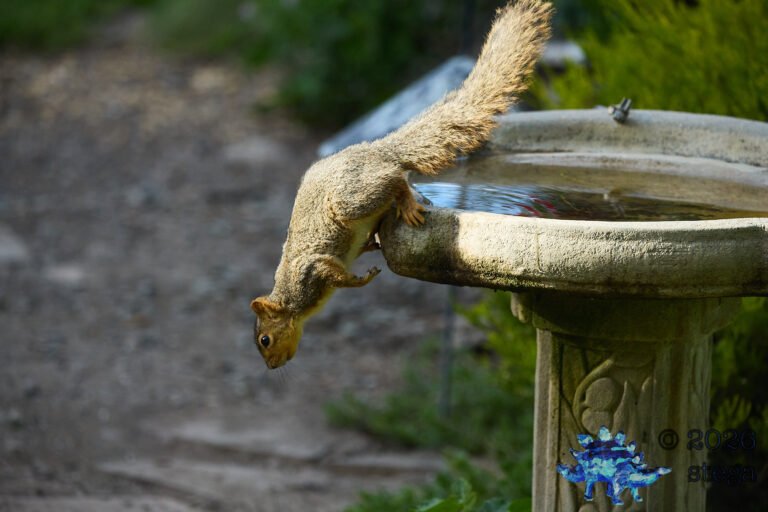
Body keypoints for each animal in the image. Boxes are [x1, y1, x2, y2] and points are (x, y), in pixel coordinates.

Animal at [251, 0, 553, 369]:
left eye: (265, 339)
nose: (272, 366)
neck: (291, 301)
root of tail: (376, 150)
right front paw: (369, 250)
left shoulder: (310, 271)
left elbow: (335, 274)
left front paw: (359, 279)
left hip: (350, 200)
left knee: (395, 179)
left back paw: (407, 202)